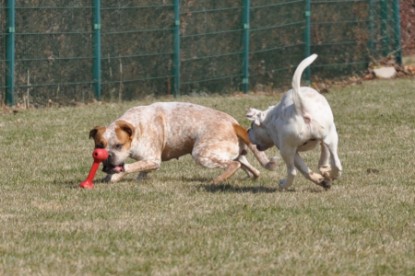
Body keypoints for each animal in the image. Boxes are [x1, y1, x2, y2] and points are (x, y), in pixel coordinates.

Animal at [89, 101, 276, 183]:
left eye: (118, 145)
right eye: (99, 145)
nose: (106, 162)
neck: (136, 128)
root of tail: (234, 123)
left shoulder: (153, 160)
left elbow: (130, 167)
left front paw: (115, 175)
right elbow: (141, 171)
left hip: (202, 154)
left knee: (233, 165)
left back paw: (217, 180)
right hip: (233, 153)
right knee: (251, 169)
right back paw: (251, 175)